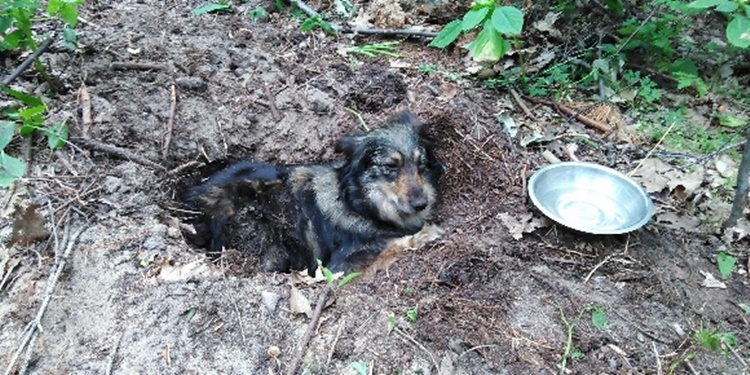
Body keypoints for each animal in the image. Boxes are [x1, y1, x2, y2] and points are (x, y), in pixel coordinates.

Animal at [186, 110, 446, 274]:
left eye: (421, 164)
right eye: (391, 166)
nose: (421, 204)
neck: (358, 203)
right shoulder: (341, 265)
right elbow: (391, 244)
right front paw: (426, 234)